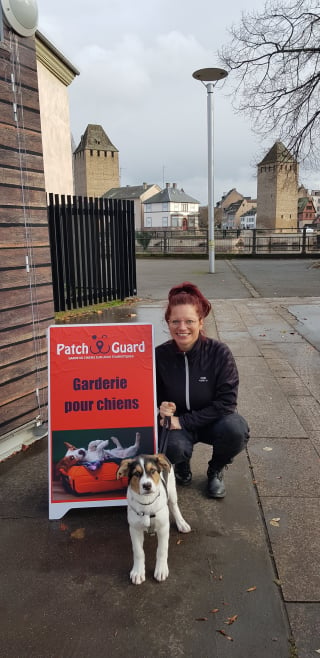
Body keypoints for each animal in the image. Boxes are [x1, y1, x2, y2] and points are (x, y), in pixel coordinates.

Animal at [116, 452, 190, 584]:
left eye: (153, 471)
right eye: (136, 473)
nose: (147, 485)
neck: (147, 503)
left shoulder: (164, 528)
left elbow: (162, 550)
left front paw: (161, 569)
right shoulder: (135, 530)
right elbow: (138, 552)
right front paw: (138, 572)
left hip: (172, 489)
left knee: (174, 506)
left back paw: (182, 523)